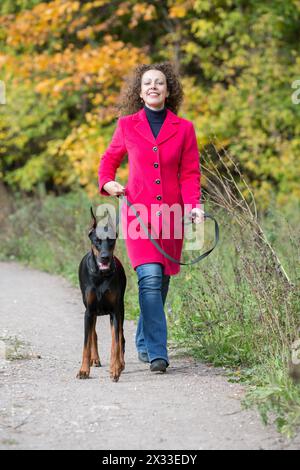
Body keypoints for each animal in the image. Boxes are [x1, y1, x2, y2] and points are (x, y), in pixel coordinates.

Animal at [77, 208, 126, 382]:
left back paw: (120, 364)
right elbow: (86, 343)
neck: (101, 275)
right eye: (97, 240)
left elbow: (115, 342)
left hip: (120, 309)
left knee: (120, 337)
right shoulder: (89, 311)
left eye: (111, 240)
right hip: (92, 312)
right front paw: (84, 370)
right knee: (93, 334)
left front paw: (115, 368)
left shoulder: (115, 312)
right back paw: (95, 359)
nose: (105, 257)